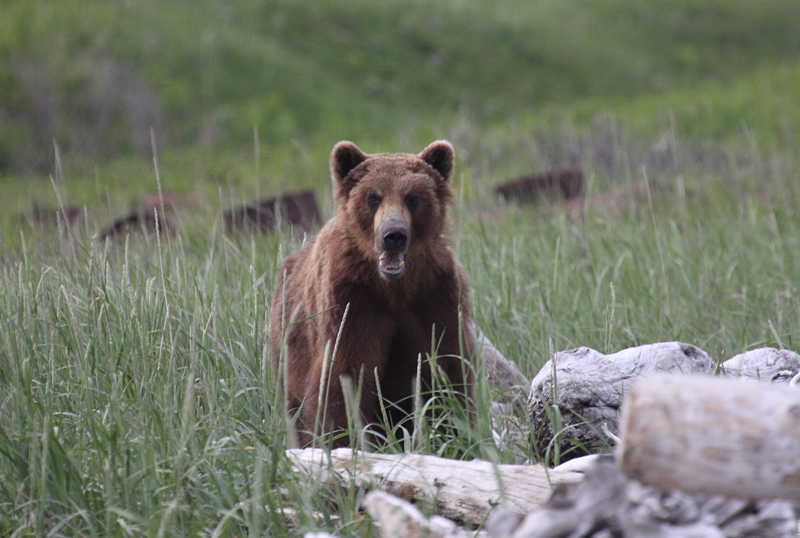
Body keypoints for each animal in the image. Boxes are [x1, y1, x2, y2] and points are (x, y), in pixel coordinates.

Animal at [270, 140, 476, 446]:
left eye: (412, 198)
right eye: (373, 197)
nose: (394, 235)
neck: (392, 288)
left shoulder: (435, 299)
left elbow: (447, 370)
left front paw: (455, 435)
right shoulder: (352, 305)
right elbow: (343, 378)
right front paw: (343, 440)